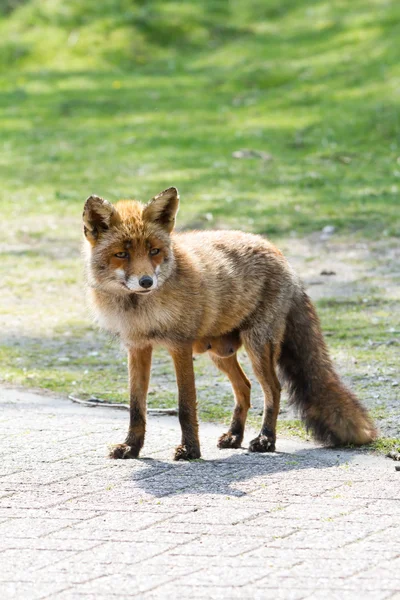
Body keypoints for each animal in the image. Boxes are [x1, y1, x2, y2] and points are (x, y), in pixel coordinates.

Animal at [83, 188, 376, 460]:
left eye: (154, 251)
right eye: (122, 254)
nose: (146, 282)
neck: (140, 310)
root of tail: (277, 252)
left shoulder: (180, 345)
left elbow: (185, 405)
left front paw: (190, 450)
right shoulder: (137, 347)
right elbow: (136, 407)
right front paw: (131, 447)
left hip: (258, 347)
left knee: (273, 389)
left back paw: (266, 440)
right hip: (219, 353)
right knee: (244, 387)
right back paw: (235, 435)